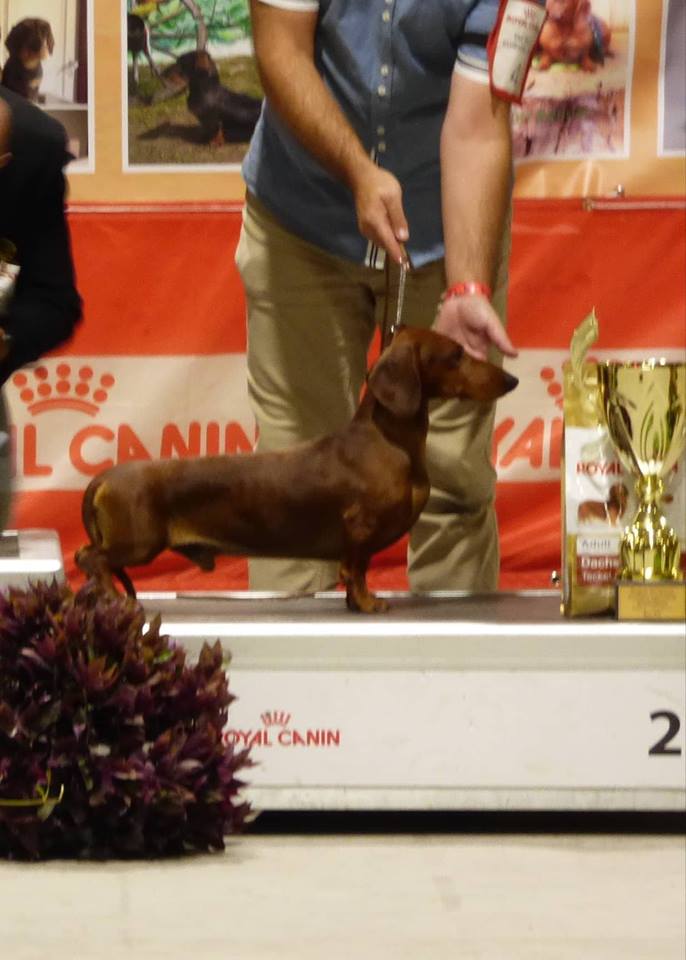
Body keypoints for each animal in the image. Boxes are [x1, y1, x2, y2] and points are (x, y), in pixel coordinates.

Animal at [75, 327, 518, 614]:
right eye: (456, 354)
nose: (511, 378)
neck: (386, 440)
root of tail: (104, 478)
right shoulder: (360, 528)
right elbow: (356, 569)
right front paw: (367, 601)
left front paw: (355, 602)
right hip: (139, 542)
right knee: (90, 558)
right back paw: (114, 598)